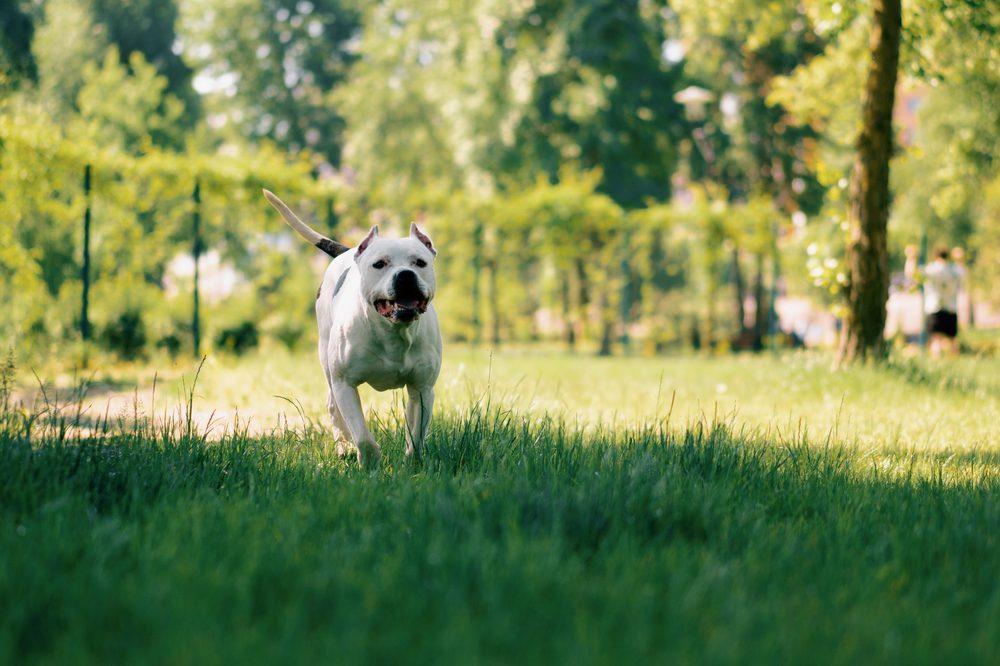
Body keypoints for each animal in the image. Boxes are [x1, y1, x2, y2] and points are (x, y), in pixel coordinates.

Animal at [262, 189, 442, 464]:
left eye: (419, 262)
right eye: (379, 264)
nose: (405, 275)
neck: (392, 331)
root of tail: (348, 251)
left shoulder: (422, 388)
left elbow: (415, 435)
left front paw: (412, 463)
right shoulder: (344, 385)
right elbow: (363, 436)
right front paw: (369, 463)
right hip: (327, 364)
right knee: (333, 407)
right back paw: (343, 446)